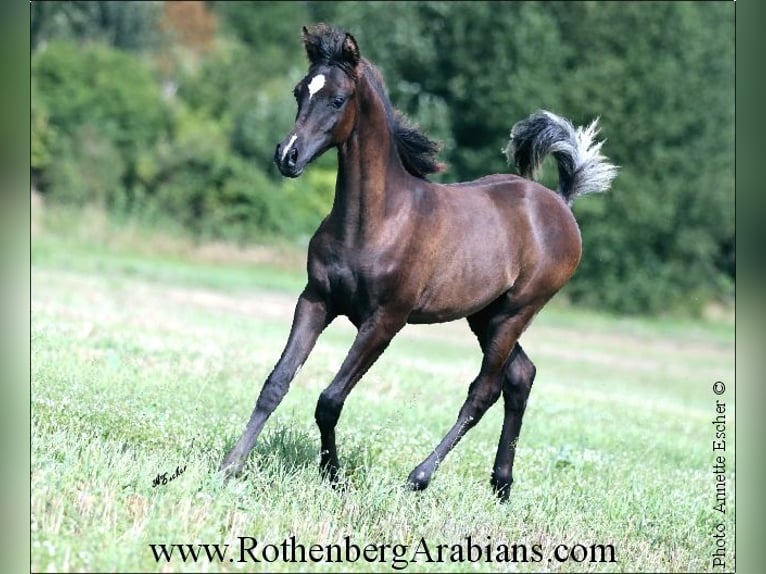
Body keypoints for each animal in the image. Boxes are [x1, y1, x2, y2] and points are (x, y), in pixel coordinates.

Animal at [220, 23, 616, 504]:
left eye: (338, 99)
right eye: (300, 91)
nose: (287, 156)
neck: (377, 220)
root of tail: (560, 203)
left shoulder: (385, 320)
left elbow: (330, 399)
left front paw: (334, 476)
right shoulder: (315, 300)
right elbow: (275, 384)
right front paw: (230, 466)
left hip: (516, 312)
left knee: (484, 390)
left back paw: (420, 476)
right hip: (485, 316)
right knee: (521, 376)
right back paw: (501, 485)